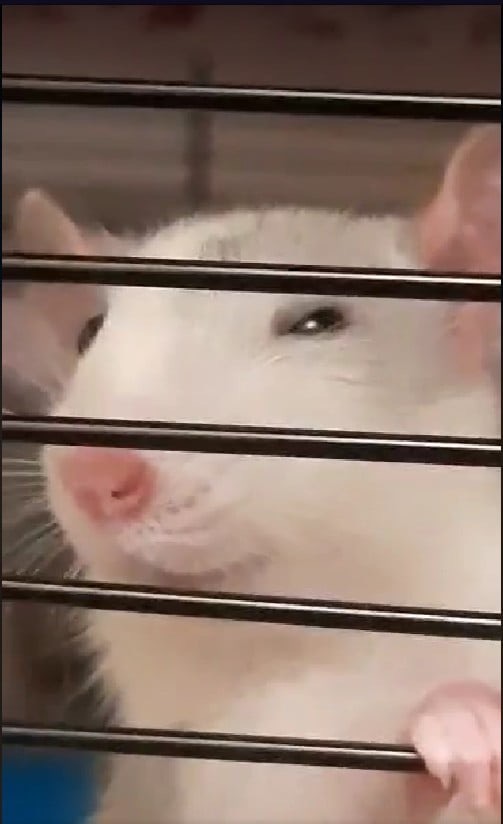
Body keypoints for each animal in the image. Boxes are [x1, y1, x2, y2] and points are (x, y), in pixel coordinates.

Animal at [3, 126, 500, 824]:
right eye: (89, 331)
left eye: (318, 323)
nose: (96, 475)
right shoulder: (202, 758)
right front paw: (460, 726)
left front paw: (471, 715)